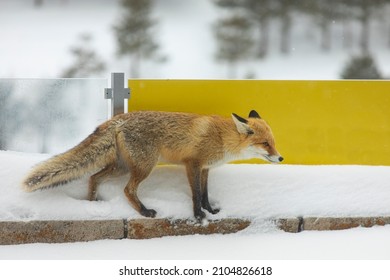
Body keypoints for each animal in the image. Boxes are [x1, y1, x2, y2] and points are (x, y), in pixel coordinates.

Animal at [22, 110, 282, 220]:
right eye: (265, 144)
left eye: (274, 143)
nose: (281, 158)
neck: (221, 137)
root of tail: (119, 118)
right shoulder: (192, 164)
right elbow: (196, 194)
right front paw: (199, 216)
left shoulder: (205, 168)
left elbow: (206, 194)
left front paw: (210, 211)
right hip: (144, 167)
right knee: (128, 190)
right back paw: (144, 212)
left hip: (122, 167)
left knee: (93, 177)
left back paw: (93, 205)